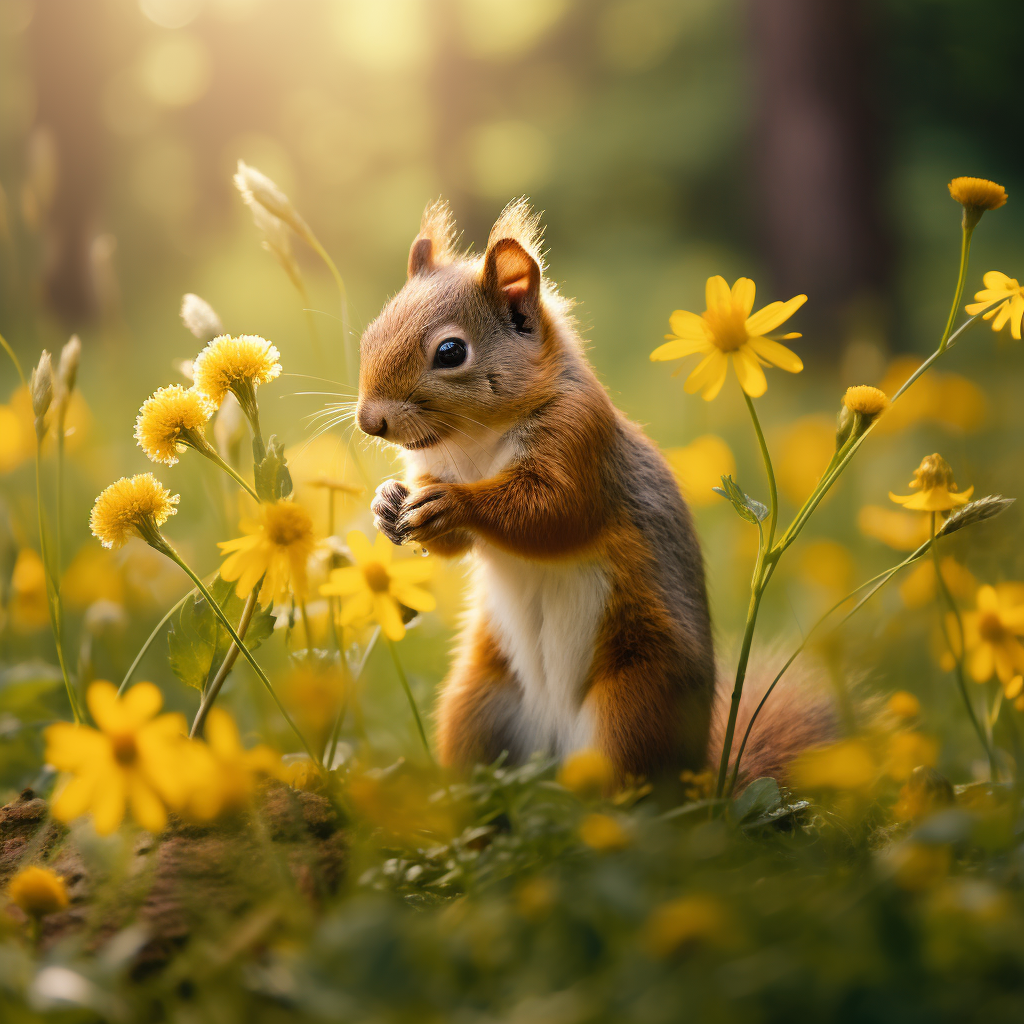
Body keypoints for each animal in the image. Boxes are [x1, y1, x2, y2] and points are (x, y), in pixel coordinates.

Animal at [352, 199, 831, 786]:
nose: (369, 421)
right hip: (477, 704)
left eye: (450, 351)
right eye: (370, 334)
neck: (474, 443)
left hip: (636, 700)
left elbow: (552, 513)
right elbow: (452, 541)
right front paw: (385, 502)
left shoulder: (580, 438)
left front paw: (457, 505)